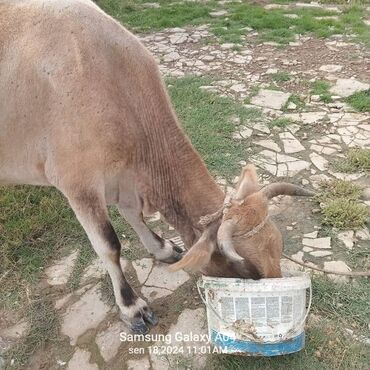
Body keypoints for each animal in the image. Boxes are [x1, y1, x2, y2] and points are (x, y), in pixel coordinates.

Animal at [0, 0, 314, 336]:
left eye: (279, 246)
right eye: (249, 272)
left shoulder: (126, 178)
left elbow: (133, 215)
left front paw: (161, 247)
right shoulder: (78, 183)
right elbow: (109, 246)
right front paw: (131, 306)